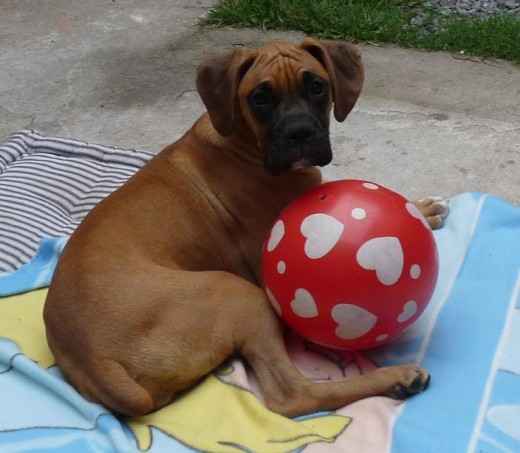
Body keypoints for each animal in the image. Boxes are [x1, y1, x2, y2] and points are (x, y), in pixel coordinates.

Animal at [42, 38, 444, 416]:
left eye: (317, 87)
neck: (242, 140)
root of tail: (97, 360)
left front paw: (420, 208)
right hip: (238, 293)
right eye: (260, 98)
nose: (299, 133)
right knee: (292, 396)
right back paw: (395, 377)